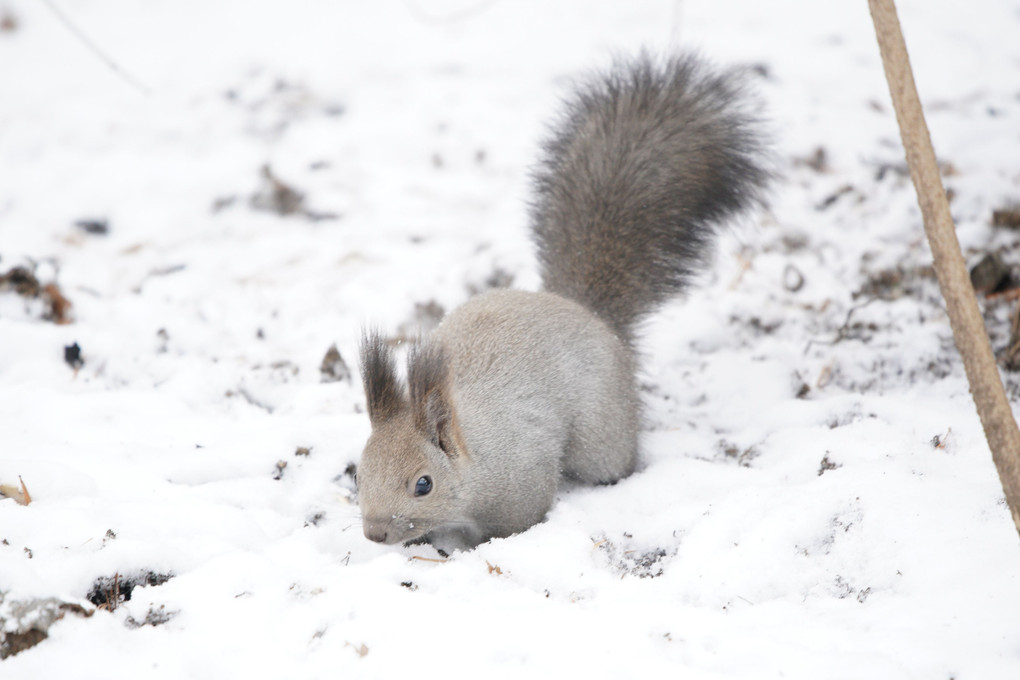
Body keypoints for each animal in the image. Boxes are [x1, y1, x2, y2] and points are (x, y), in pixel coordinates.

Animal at [354, 54, 767, 554]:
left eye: (423, 484)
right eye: (359, 473)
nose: (375, 533)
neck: (474, 458)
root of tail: (588, 314)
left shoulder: (522, 483)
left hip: (600, 434)